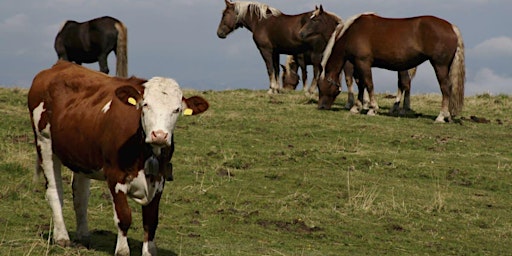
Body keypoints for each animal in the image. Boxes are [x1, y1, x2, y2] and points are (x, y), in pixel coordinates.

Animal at [27, 61, 208, 255]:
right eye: (145, 105)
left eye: (177, 110)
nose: (159, 135)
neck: (145, 152)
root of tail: (60, 65)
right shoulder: (115, 176)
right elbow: (124, 217)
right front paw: (122, 250)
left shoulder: (159, 181)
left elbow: (151, 222)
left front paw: (148, 251)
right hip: (45, 142)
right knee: (55, 191)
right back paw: (62, 237)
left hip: (82, 156)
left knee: (80, 195)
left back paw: (83, 236)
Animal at [316, 13, 464, 122]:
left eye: (321, 86)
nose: (321, 106)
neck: (352, 33)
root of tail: (452, 27)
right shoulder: (357, 65)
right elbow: (361, 85)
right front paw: (357, 107)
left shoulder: (363, 63)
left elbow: (368, 84)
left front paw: (372, 109)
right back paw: (447, 116)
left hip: (440, 65)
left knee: (445, 88)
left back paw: (441, 116)